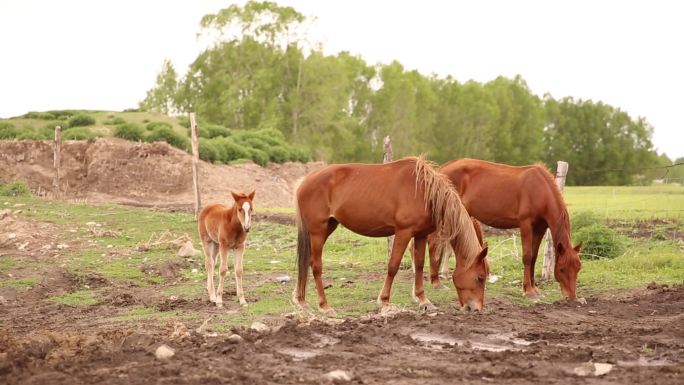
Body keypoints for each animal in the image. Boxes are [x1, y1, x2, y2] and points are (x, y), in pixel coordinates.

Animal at [292, 154, 486, 314]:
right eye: (480, 277)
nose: (476, 309)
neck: (424, 191)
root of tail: (304, 182)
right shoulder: (403, 232)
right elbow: (393, 266)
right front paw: (385, 301)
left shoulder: (420, 235)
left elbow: (419, 265)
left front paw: (423, 300)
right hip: (318, 230)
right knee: (316, 265)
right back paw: (324, 305)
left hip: (327, 227)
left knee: (306, 261)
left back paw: (301, 301)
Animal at [430, 159, 580, 300]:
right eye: (562, 269)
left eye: (578, 268)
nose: (572, 297)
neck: (540, 189)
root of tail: (442, 169)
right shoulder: (525, 225)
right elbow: (527, 256)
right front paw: (528, 291)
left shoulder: (539, 228)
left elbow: (533, 257)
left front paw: (534, 289)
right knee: (434, 244)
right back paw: (436, 282)